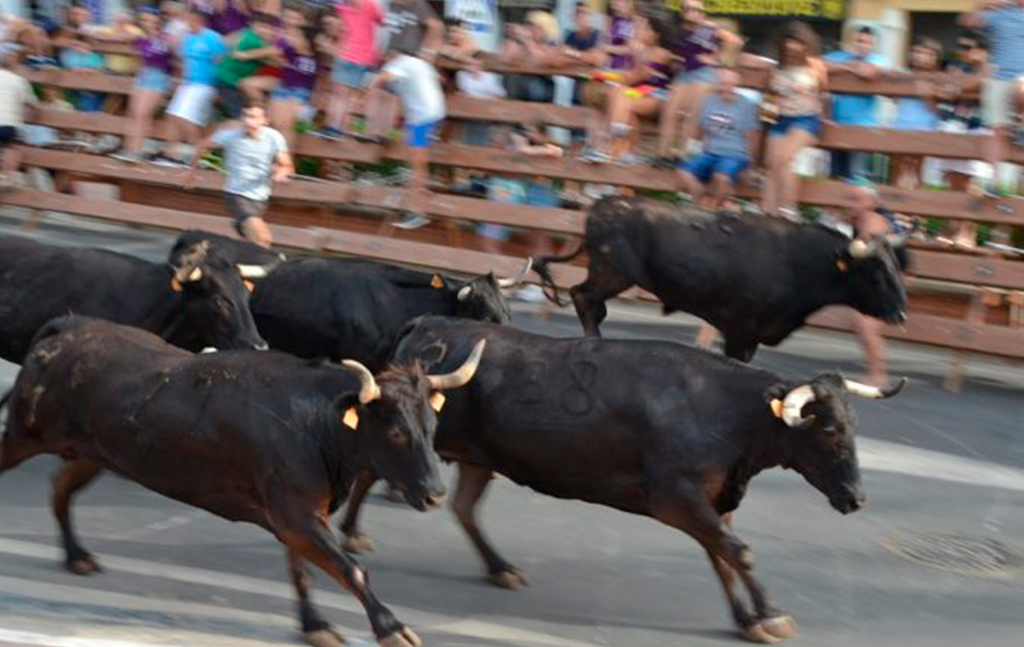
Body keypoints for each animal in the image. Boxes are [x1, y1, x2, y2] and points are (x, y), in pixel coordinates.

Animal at [0, 315, 487, 647]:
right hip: (24, 434)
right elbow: (349, 569)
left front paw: (315, 625)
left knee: (60, 488)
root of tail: (69, 325)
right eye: (396, 432)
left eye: (431, 426)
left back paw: (77, 556)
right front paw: (392, 628)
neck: (318, 423)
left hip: (92, 454)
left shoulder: (299, 515)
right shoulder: (295, 513)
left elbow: (303, 571)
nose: (435, 494)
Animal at [337, 317, 905, 642]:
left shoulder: (712, 500)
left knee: (463, 508)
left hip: (480, 455)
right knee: (367, 473)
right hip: (411, 439)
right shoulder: (676, 497)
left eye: (854, 425)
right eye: (828, 430)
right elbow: (738, 553)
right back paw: (351, 532)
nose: (857, 498)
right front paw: (769, 614)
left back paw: (500, 567)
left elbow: (722, 555)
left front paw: (747, 618)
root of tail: (425, 326)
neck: (727, 411)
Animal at [532, 198, 909, 358]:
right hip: (612, 274)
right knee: (583, 297)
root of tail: (604, 206)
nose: (902, 314)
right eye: (875, 274)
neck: (800, 262)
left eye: (896, 267)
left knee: (589, 303)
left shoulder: (753, 337)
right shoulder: (739, 331)